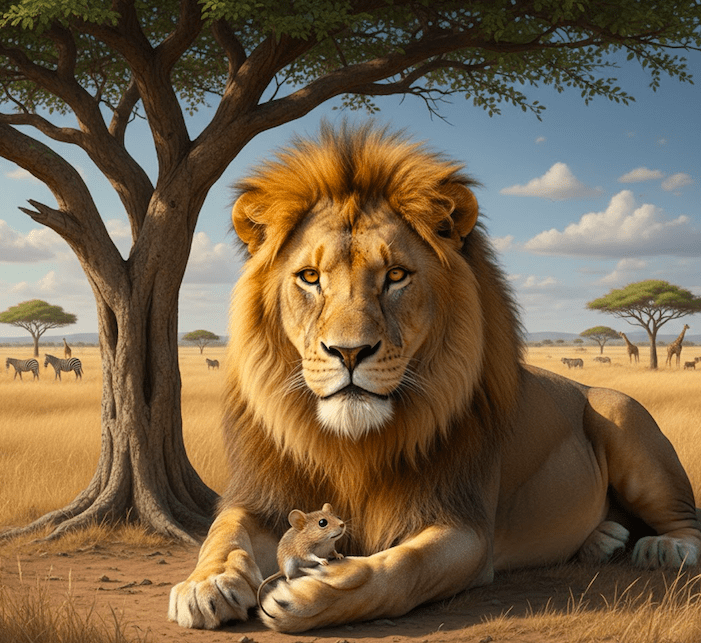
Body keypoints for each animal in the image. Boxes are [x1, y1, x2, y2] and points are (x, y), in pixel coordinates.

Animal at [169, 123, 701, 633]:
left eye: (396, 276)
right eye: (311, 277)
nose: (349, 351)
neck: (351, 446)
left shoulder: (466, 526)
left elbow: (402, 567)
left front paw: (318, 592)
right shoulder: (261, 495)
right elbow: (224, 532)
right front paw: (205, 584)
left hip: (626, 421)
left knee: (687, 520)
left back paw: (662, 548)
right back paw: (603, 538)